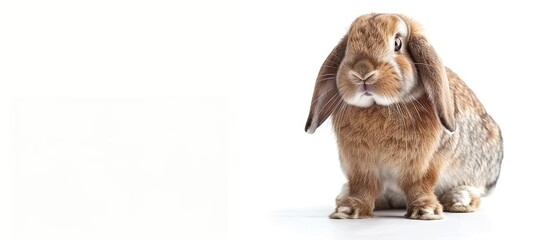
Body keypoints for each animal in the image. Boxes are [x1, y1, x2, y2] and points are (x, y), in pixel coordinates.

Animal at [304, 12, 500, 219]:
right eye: (349, 44)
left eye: (397, 43)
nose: (362, 72)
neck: (380, 106)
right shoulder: (360, 166)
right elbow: (362, 187)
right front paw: (348, 210)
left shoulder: (424, 163)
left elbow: (420, 185)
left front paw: (425, 211)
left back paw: (458, 200)